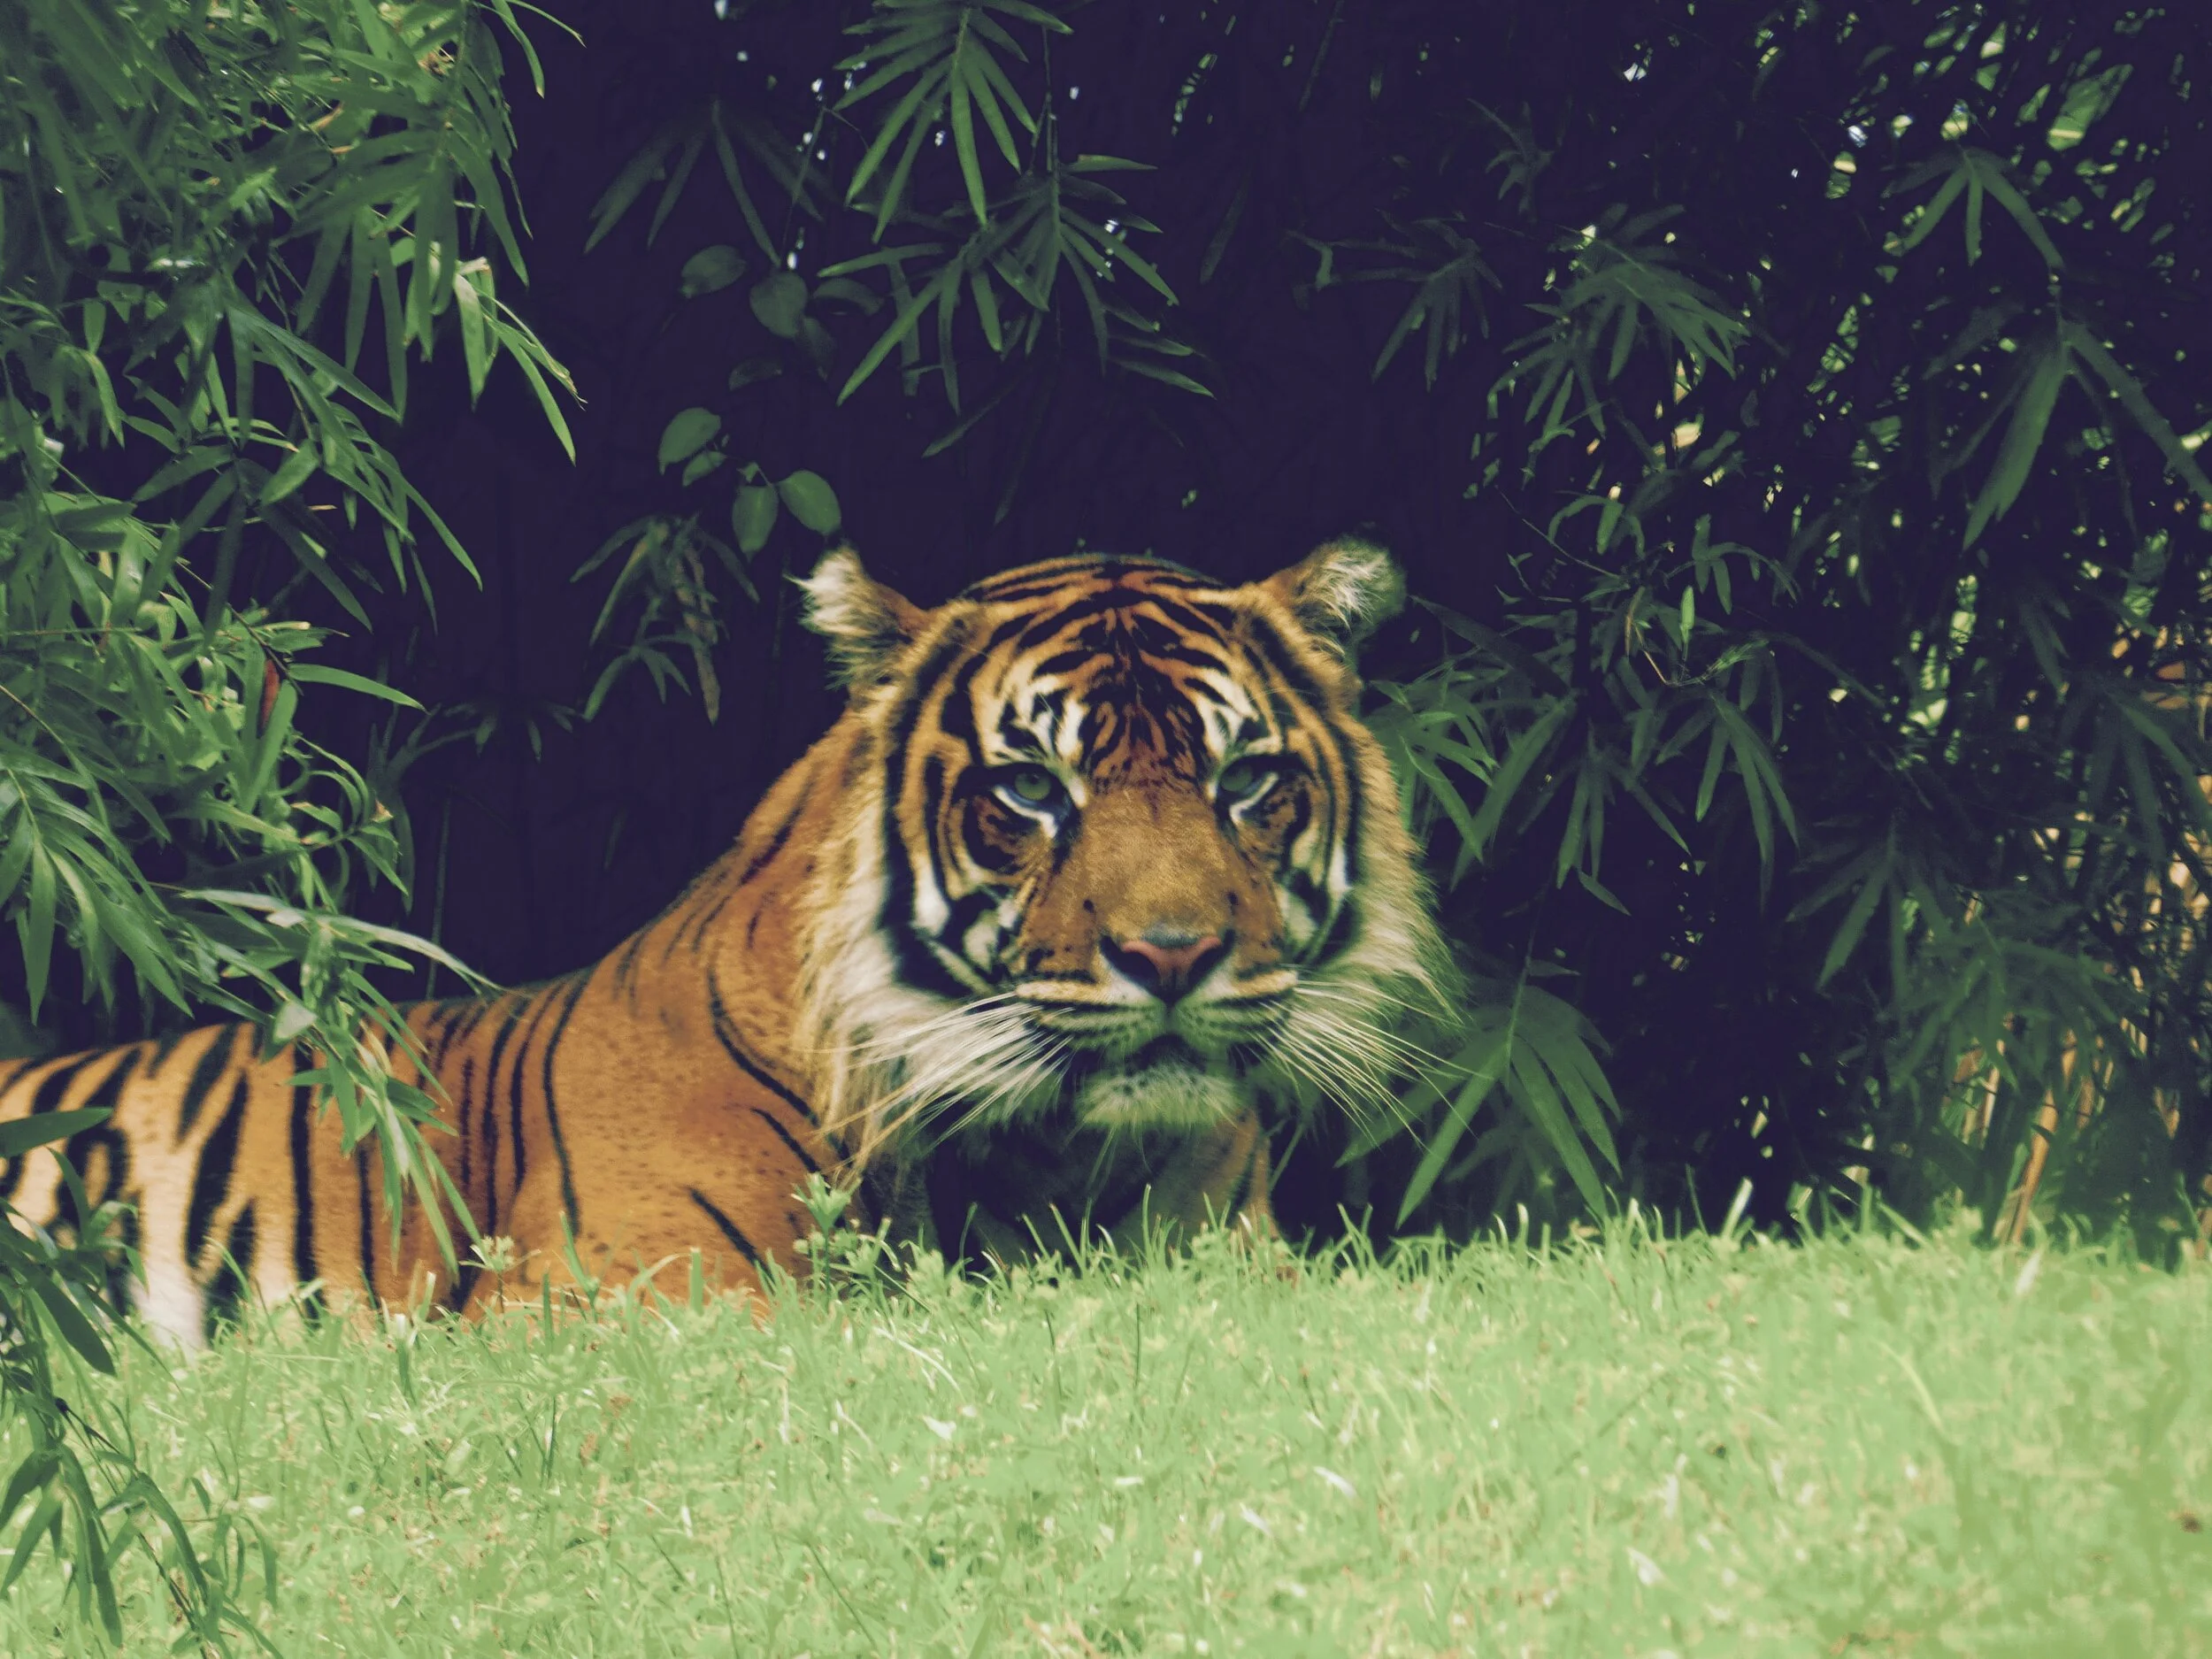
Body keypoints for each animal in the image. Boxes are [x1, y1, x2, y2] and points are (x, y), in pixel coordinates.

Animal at [0, 540, 1446, 1346]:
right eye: (1033, 790)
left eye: (1245, 780)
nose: (1174, 954)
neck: (1046, 1160)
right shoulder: (617, 1290)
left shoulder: (1237, 1248)